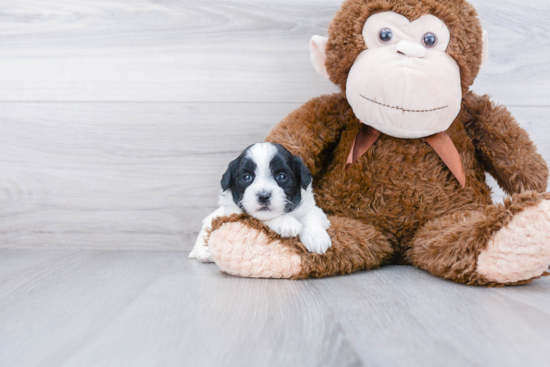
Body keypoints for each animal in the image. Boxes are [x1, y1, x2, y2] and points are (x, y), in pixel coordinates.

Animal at [190, 142, 332, 264]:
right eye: (247, 177)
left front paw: (317, 238)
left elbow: (312, 214)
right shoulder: (237, 214)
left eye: (281, 177)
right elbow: (263, 219)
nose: (263, 196)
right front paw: (286, 223)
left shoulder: (312, 207)